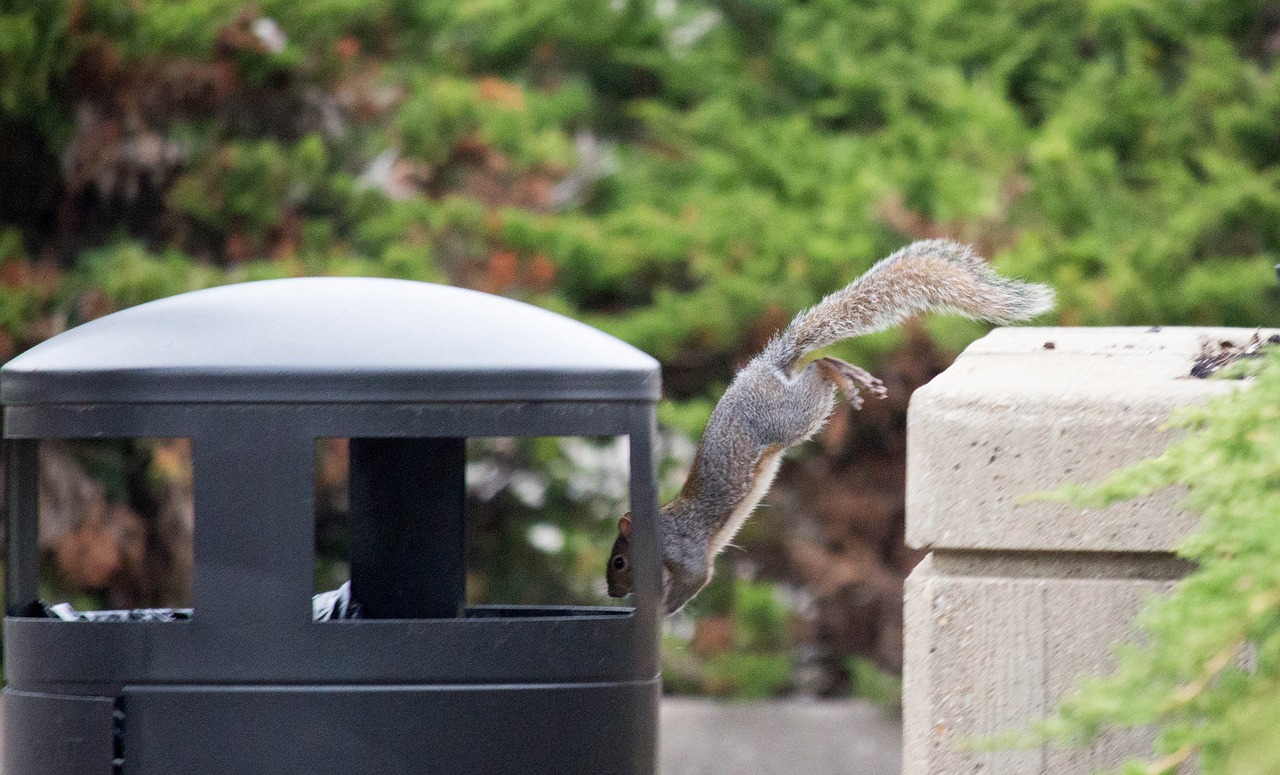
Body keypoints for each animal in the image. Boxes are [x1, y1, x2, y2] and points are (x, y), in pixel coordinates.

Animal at [604, 238, 1054, 612]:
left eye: (619, 561)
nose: (609, 591)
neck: (660, 531)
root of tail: (763, 368)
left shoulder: (688, 554)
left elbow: (695, 580)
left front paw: (660, 612)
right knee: (819, 362)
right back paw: (851, 375)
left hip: (791, 416)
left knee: (818, 367)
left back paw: (843, 375)